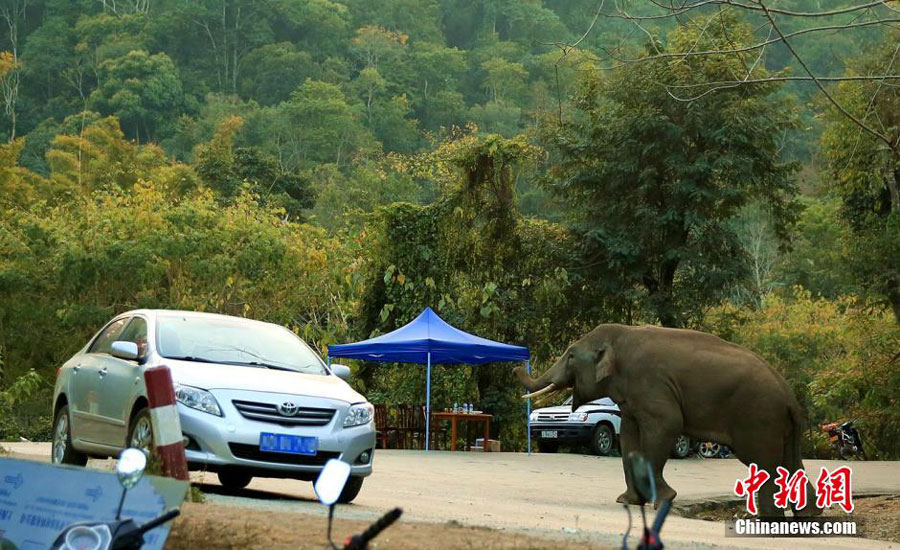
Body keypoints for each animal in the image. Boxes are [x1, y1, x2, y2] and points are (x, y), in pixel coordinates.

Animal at [515, 323, 820, 517]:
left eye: (571, 355)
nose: (518, 365)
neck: (622, 335)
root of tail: (789, 395)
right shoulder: (631, 401)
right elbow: (629, 440)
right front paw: (628, 501)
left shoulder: (651, 385)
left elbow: (666, 426)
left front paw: (663, 500)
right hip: (780, 423)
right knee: (791, 462)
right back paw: (808, 518)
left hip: (758, 417)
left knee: (765, 462)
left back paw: (768, 518)